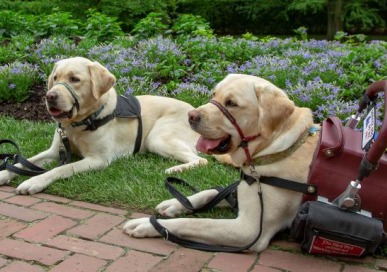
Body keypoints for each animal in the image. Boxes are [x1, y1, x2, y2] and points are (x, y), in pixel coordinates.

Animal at [0, 56, 208, 193]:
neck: (78, 124)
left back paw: (175, 169)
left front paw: (35, 181)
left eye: (74, 79)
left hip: (156, 138)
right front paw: (3, 174)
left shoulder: (97, 159)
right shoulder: (54, 151)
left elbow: (61, 168)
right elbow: (24, 162)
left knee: (201, 160)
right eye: (55, 78)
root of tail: (195, 112)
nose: (49, 96)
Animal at [123, 74, 318, 253]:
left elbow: (194, 223)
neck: (276, 148)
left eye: (231, 103)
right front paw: (175, 203)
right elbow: (210, 192)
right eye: (214, 94)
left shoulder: (249, 230)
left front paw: (148, 224)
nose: (191, 116)